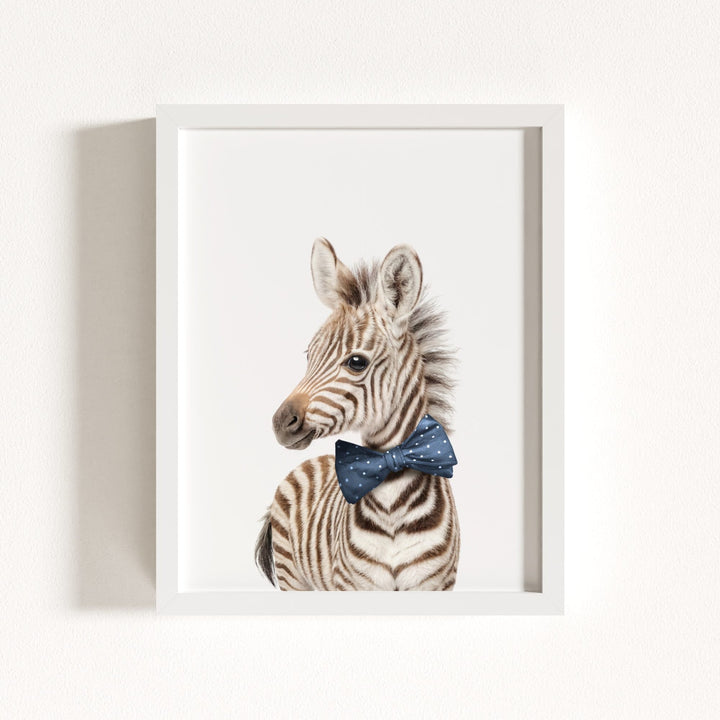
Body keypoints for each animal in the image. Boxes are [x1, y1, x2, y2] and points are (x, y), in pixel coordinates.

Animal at [255, 237, 459, 591]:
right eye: (309, 355)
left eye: (356, 362)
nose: (281, 423)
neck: (392, 503)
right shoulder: (354, 585)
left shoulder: (435, 584)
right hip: (292, 575)